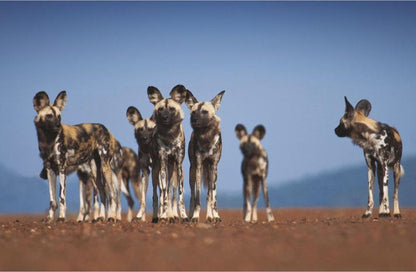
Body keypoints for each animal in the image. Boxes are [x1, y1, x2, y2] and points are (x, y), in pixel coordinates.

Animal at [33, 90, 121, 222]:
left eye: (59, 116)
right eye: (49, 116)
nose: (58, 125)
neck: (48, 140)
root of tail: (105, 129)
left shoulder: (62, 168)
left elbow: (61, 198)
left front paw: (61, 218)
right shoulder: (49, 169)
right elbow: (52, 200)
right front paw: (49, 218)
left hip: (105, 168)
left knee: (112, 195)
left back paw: (111, 217)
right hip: (95, 172)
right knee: (103, 193)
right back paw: (100, 218)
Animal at [147, 85, 188, 223]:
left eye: (171, 109)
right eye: (160, 109)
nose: (165, 117)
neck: (169, 135)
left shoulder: (179, 166)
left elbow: (179, 196)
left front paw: (184, 216)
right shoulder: (163, 166)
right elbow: (163, 195)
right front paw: (164, 215)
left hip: (172, 170)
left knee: (170, 192)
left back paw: (171, 215)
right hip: (156, 172)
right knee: (157, 195)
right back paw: (157, 217)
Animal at [184, 89, 224, 223]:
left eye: (205, 112)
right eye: (193, 112)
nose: (194, 120)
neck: (206, 137)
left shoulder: (213, 166)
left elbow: (213, 198)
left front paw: (215, 216)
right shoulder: (199, 166)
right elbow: (197, 197)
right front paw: (195, 216)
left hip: (212, 174)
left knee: (210, 195)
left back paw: (210, 216)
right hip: (192, 173)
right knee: (192, 195)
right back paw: (190, 216)